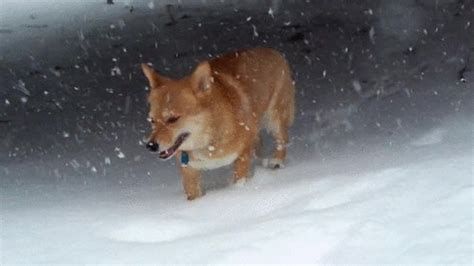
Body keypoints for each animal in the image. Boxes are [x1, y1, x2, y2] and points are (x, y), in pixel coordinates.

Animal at [143, 47, 294, 200]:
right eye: (152, 120)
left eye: (173, 119)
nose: (151, 146)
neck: (208, 139)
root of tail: (272, 51)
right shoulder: (189, 170)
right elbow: (193, 194)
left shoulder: (243, 155)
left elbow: (239, 180)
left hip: (275, 118)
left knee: (282, 140)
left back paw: (277, 161)